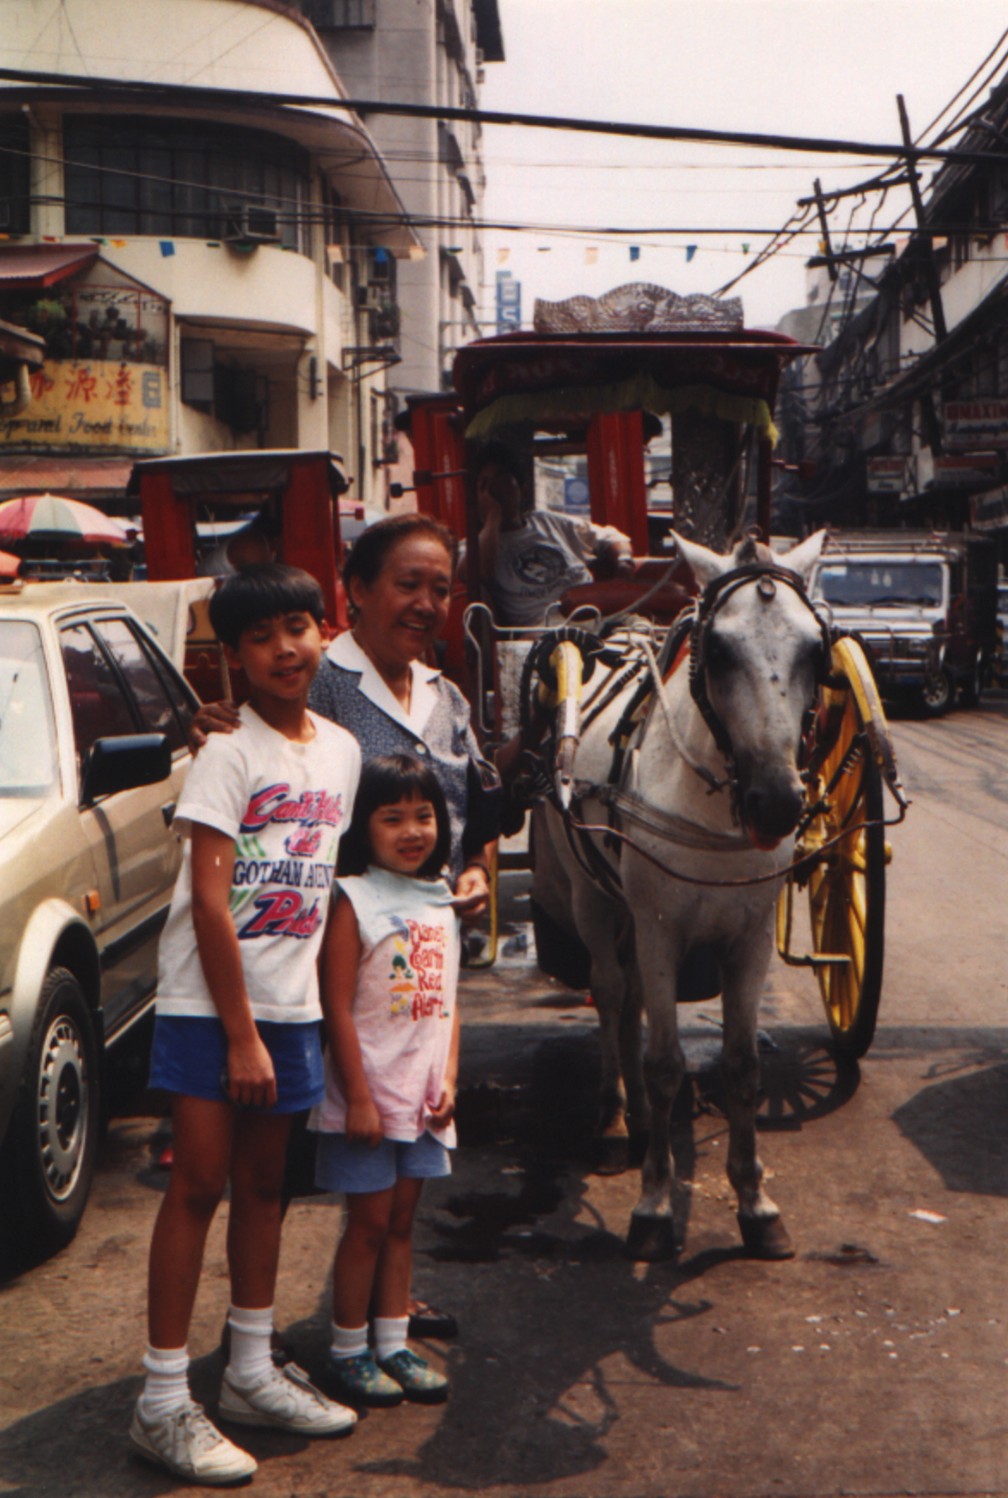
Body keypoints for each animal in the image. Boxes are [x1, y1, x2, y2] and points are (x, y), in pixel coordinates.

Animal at [527, 533, 826, 1258]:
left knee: (633, 998)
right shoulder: (660, 927)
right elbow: (665, 1063)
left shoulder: (749, 936)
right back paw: (614, 1123)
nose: (777, 802)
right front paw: (656, 1206)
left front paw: (755, 1204)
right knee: (612, 994)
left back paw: (637, 1121)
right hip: (595, 900)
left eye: (816, 649)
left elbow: (742, 1067)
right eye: (716, 650)